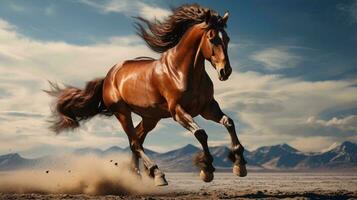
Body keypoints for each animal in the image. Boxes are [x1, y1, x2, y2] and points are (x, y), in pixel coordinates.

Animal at [46, 3, 246, 186]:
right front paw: (207, 170)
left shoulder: (207, 108)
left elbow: (229, 122)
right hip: (122, 112)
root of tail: (109, 76)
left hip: (151, 117)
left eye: (227, 39)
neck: (181, 71)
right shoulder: (178, 111)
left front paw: (240, 165)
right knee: (135, 143)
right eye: (212, 39)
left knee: (138, 139)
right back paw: (157, 174)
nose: (225, 71)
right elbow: (201, 133)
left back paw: (137, 175)